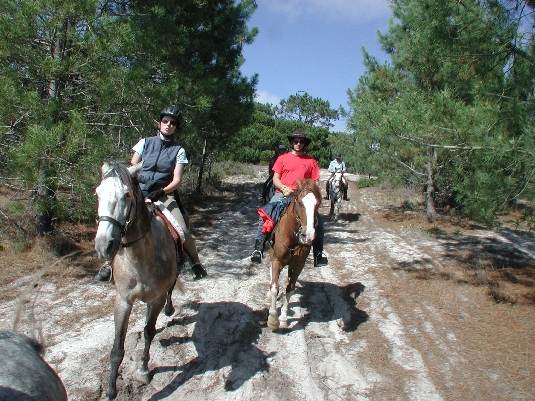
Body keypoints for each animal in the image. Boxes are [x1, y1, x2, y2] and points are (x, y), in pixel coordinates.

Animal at [94, 161, 182, 398]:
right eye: (98, 193)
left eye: (127, 195)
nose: (103, 245)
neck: (140, 259)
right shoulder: (123, 300)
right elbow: (117, 349)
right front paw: (110, 392)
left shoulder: (156, 299)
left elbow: (149, 332)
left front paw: (143, 369)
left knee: (172, 288)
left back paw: (170, 309)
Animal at [266, 178, 320, 328]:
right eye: (300, 203)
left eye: (317, 204)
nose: (308, 236)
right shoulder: (277, 260)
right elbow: (275, 287)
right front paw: (273, 318)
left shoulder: (298, 265)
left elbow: (290, 288)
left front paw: (283, 317)